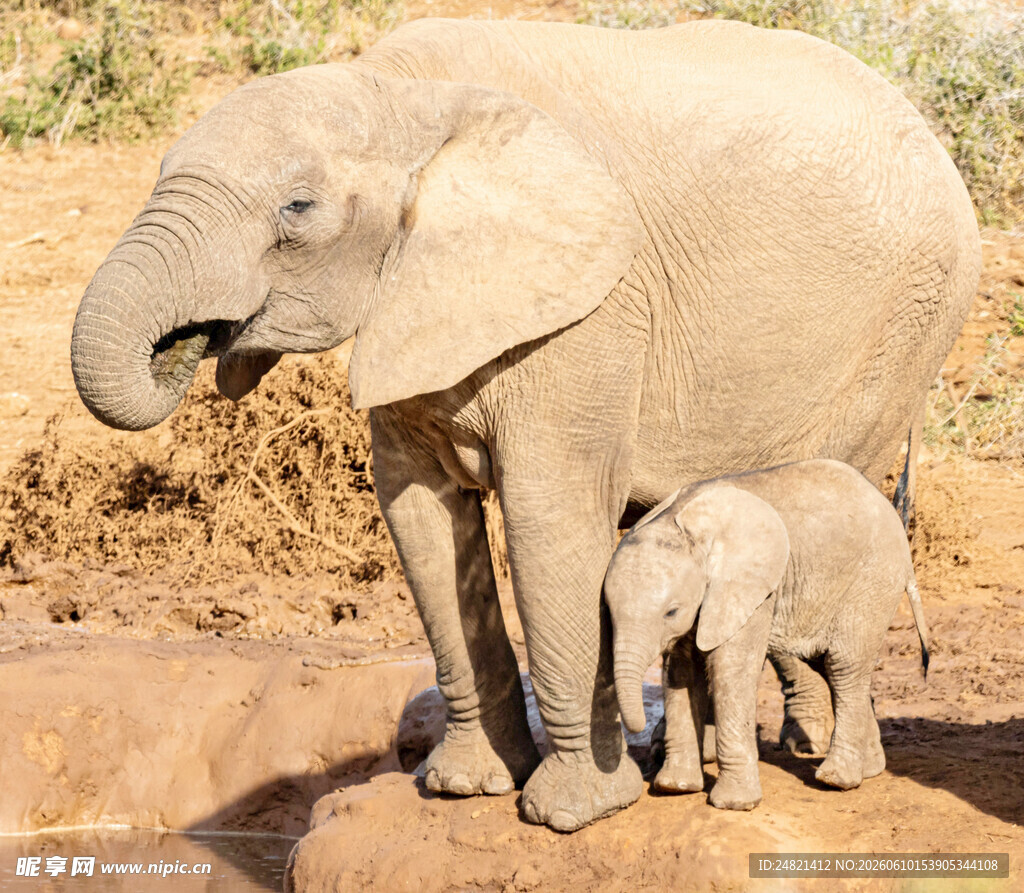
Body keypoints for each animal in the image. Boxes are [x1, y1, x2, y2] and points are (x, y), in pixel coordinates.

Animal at [604, 459, 930, 810]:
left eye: (671, 611)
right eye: (608, 611)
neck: (683, 525)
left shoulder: (751, 589)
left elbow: (731, 668)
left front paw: (734, 804)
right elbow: (681, 671)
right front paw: (676, 787)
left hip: (873, 581)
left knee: (844, 666)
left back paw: (836, 780)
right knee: (827, 665)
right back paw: (869, 769)